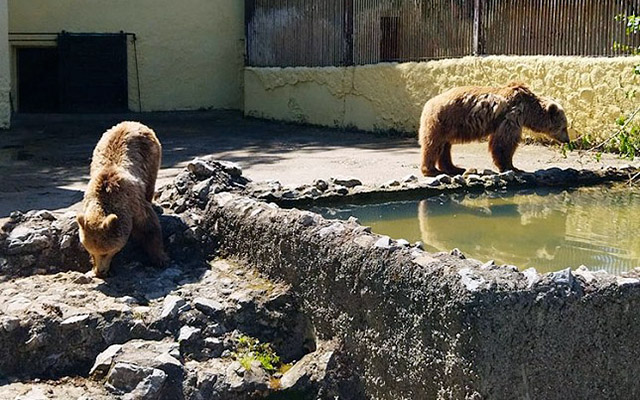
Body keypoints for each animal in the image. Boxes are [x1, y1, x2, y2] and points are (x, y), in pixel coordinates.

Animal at [76, 121, 168, 278]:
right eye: (91, 251)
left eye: (106, 252)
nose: (100, 272)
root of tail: (131, 122)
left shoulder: (133, 202)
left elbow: (149, 226)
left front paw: (160, 258)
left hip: (152, 157)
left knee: (150, 183)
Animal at [418, 83, 572, 177]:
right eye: (564, 127)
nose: (567, 140)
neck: (528, 109)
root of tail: (428, 103)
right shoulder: (512, 114)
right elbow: (505, 141)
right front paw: (512, 167)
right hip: (442, 120)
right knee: (433, 144)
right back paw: (431, 170)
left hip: (448, 126)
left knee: (445, 146)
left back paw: (454, 168)